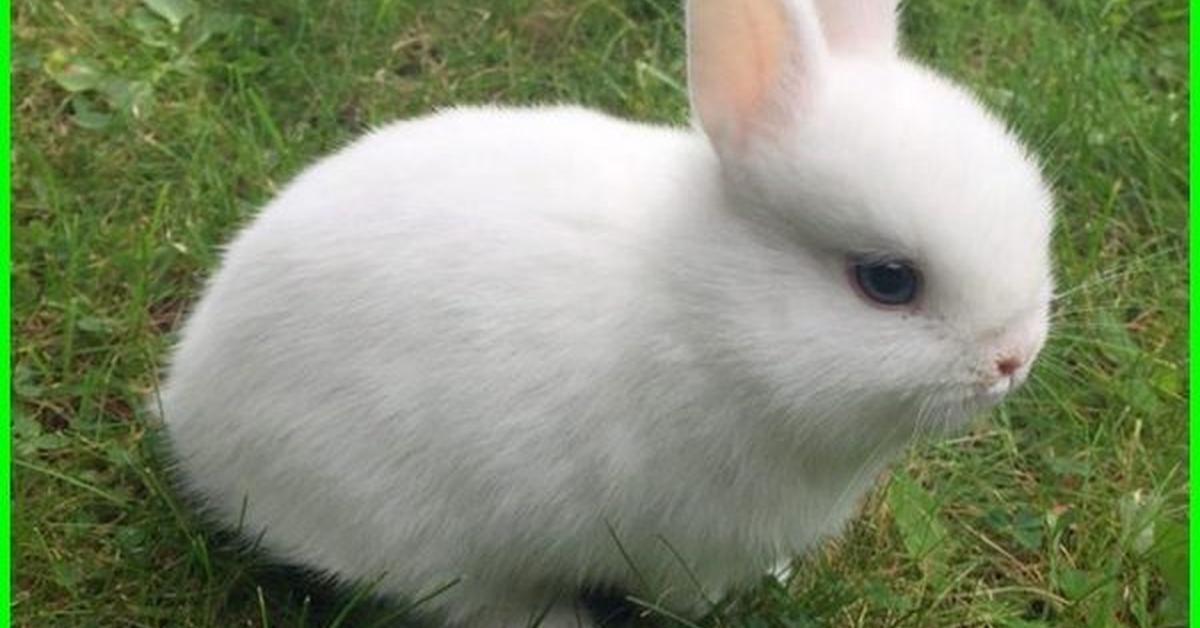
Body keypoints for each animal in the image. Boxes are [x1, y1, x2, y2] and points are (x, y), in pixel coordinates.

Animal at [159, 0, 1051, 624]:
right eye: (888, 281)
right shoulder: (685, 542)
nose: (1014, 358)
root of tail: (190, 410)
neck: (706, 317)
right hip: (414, 533)